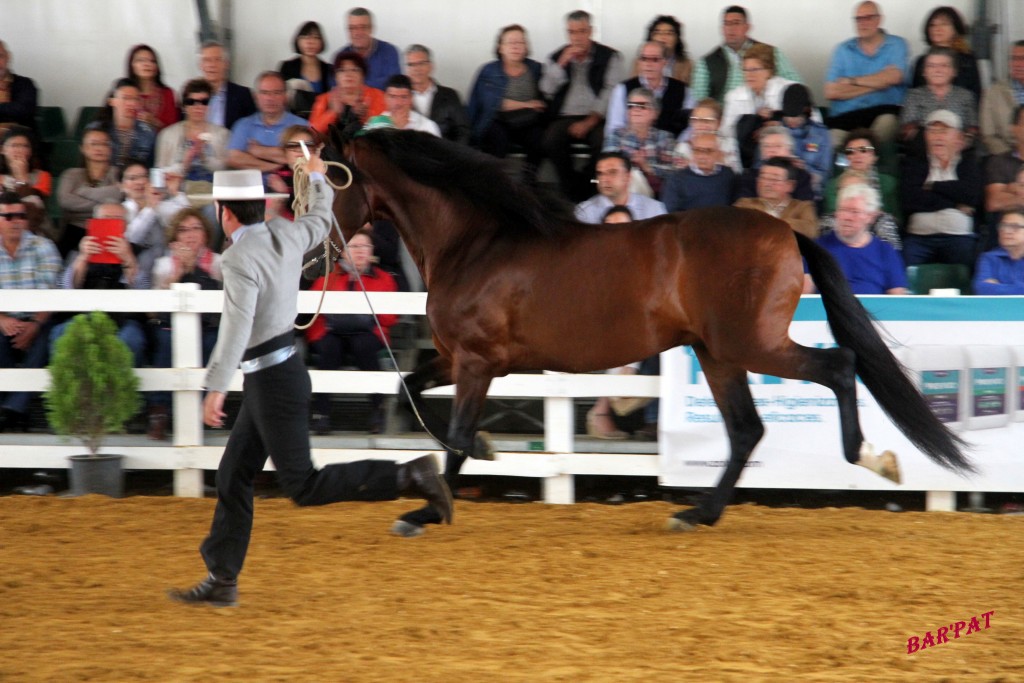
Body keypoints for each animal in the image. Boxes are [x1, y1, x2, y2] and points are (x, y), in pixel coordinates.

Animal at [323, 125, 970, 536]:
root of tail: (786, 232)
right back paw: (696, 514)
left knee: (838, 367)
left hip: (748, 344)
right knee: (747, 430)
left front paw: (428, 507)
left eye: (327, 178)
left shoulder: (478, 362)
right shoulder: (459, 359)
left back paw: (870, 458)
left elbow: (454, 432)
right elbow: (409, 386)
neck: (476, 241)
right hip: (718, 354)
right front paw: (466, 465)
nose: (318, 249)